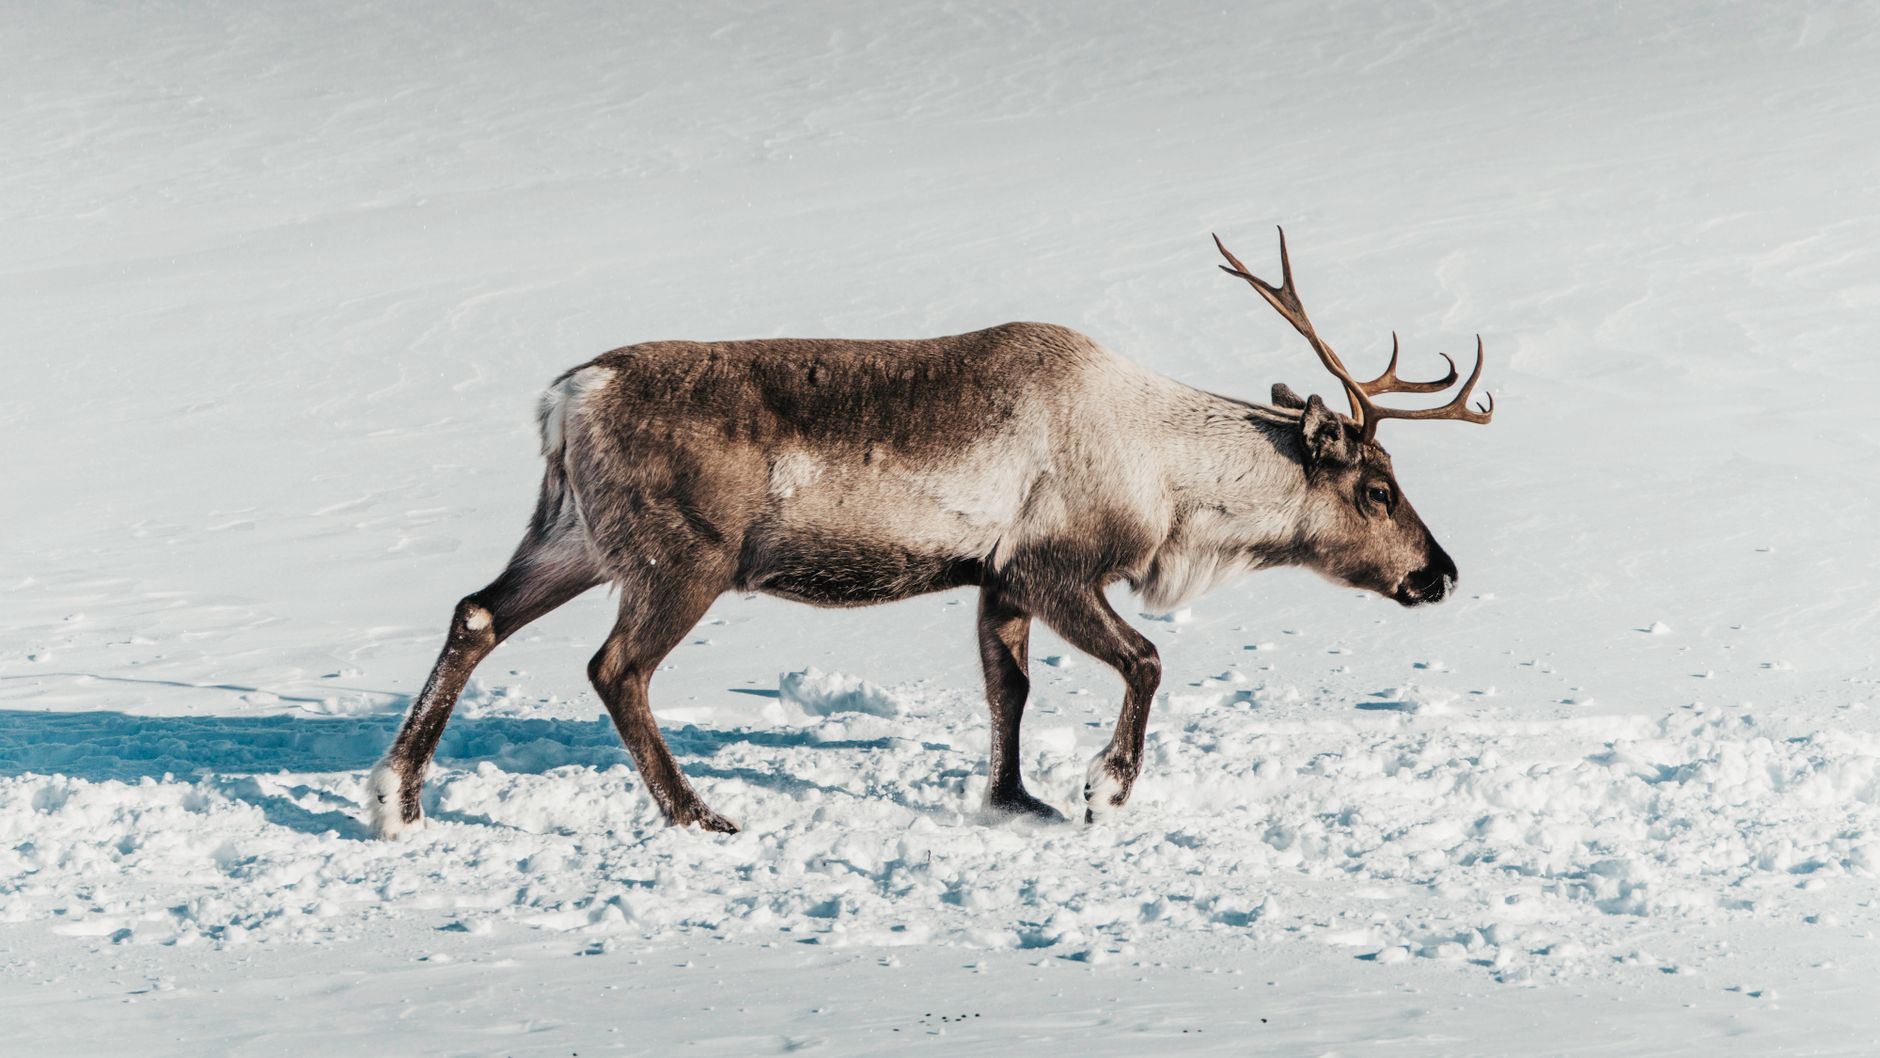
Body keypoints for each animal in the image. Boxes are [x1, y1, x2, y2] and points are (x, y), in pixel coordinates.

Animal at [365, 229, 1493, 839]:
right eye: (1379, 488)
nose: (1436, 575)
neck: (1168, 477)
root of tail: (567, 396)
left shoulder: (995, 579)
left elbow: (1009, 690)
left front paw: (1014, 800)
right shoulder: (1057, 566)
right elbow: (1145, 659)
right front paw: (1103, 787)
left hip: (572, 534)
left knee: (474, 614)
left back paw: (395, 797)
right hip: (682, 558)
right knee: (615, 667)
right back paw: (698, 814)